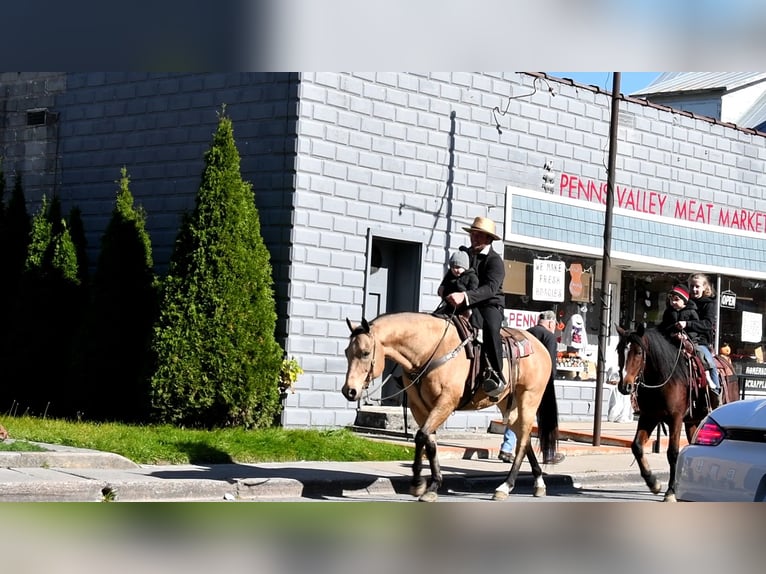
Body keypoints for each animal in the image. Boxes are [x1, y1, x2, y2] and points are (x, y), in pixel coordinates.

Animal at [342, 316, 560, 504]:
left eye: (365, 353)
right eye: (346, 352)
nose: (349, 391)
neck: (429, 350)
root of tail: (540, 346)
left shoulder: (446, 402)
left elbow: (421, 436)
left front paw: (419, 484)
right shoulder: (419, 407)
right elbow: (429, 442)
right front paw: (430, 486)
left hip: (529, 398)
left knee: (522, 441)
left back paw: (505, 486)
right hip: (508, 403)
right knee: (524, 436)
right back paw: (538, 483)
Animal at [616, 328, 720, 504]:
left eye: (638, 352)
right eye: (618, 350)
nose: (625, 386)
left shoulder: (675, 419)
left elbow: (672, 453)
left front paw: (670, 492)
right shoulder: (648, 416)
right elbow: (636, 446)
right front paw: (653, 483)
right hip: (692, 422)